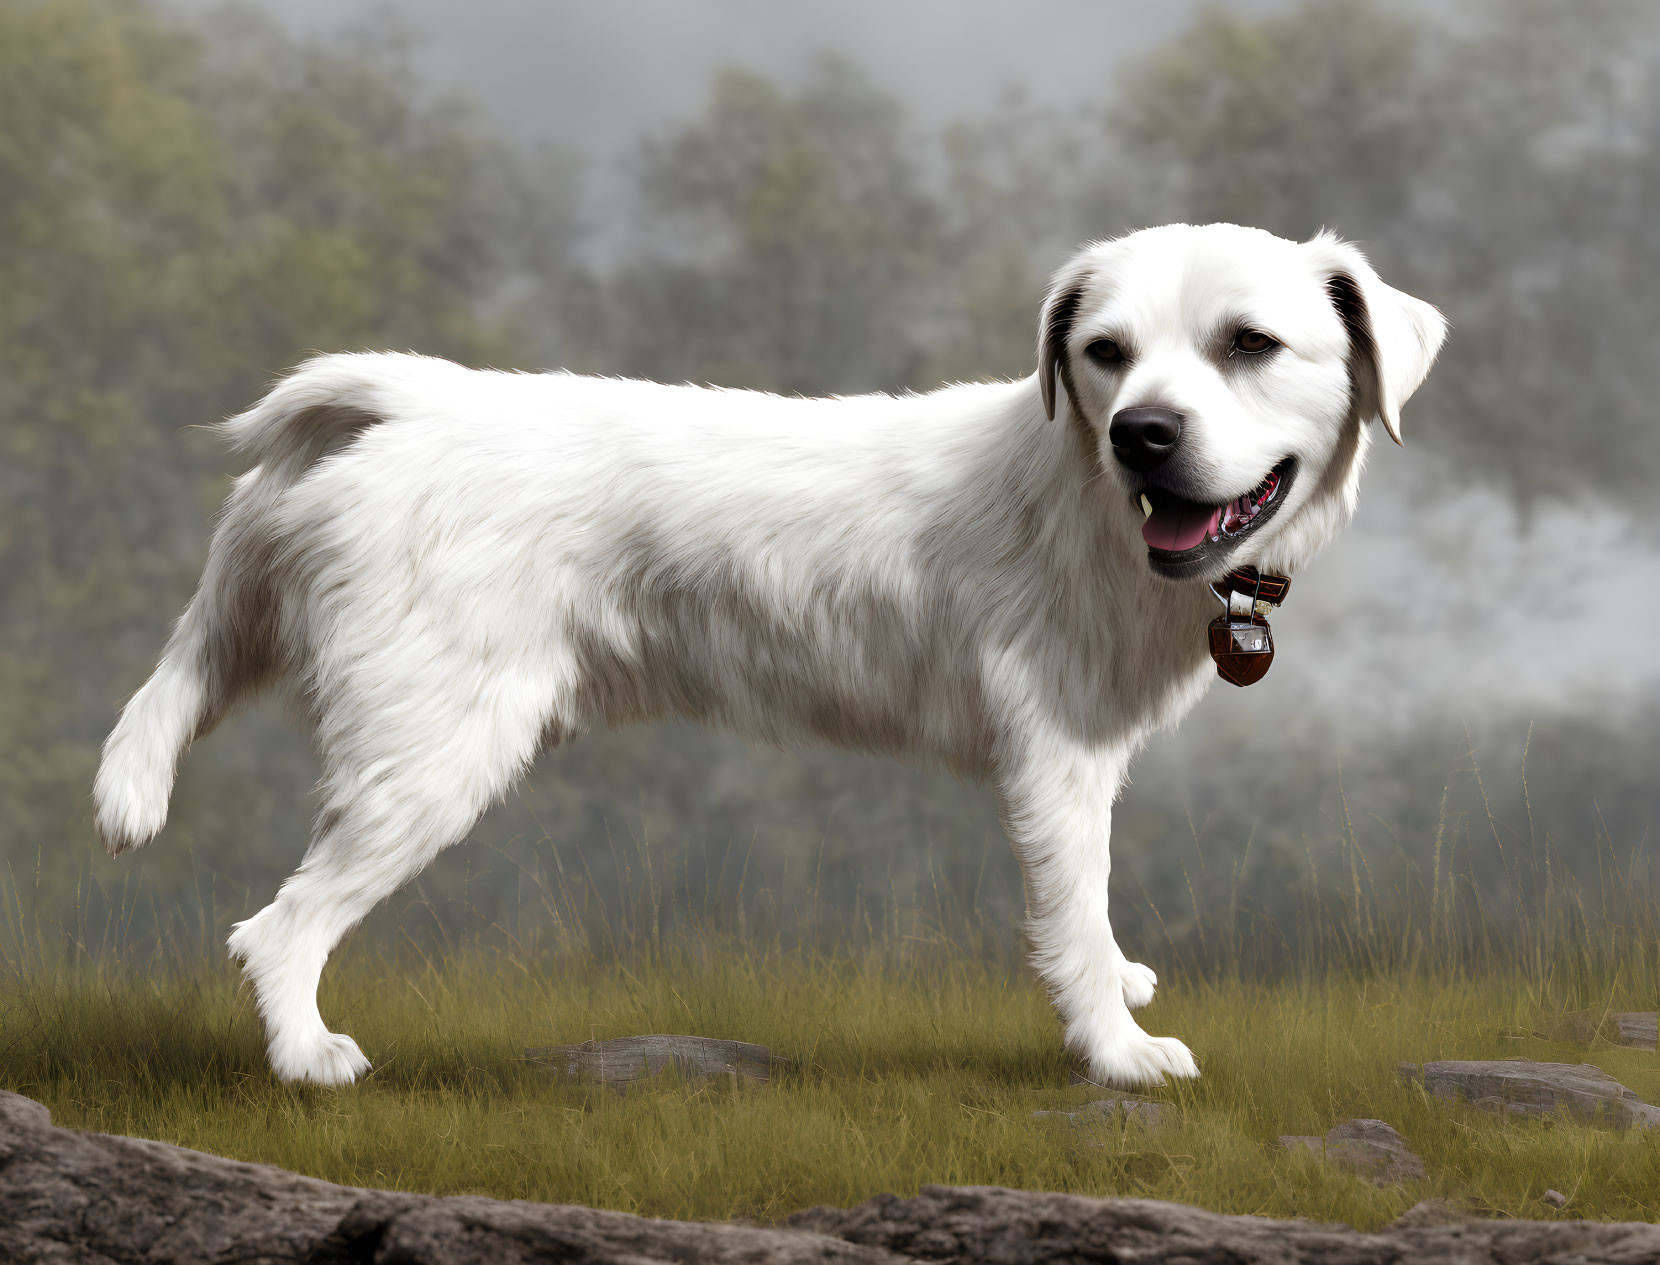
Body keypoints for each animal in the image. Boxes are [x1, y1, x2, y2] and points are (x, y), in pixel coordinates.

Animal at [94, 224, 1440, 1082]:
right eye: (1103, 350)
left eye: (1249, 343)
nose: (1142, 434)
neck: (1080, 494)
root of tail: (413, 404)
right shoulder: (1055, 765)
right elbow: (1073, 913)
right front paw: (1116, 1051)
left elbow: (1095, 920)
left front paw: (1124, 988)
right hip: (427, 761)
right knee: (277, 928)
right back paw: (305, 1059)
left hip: (269, 626)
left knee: (184, 687)